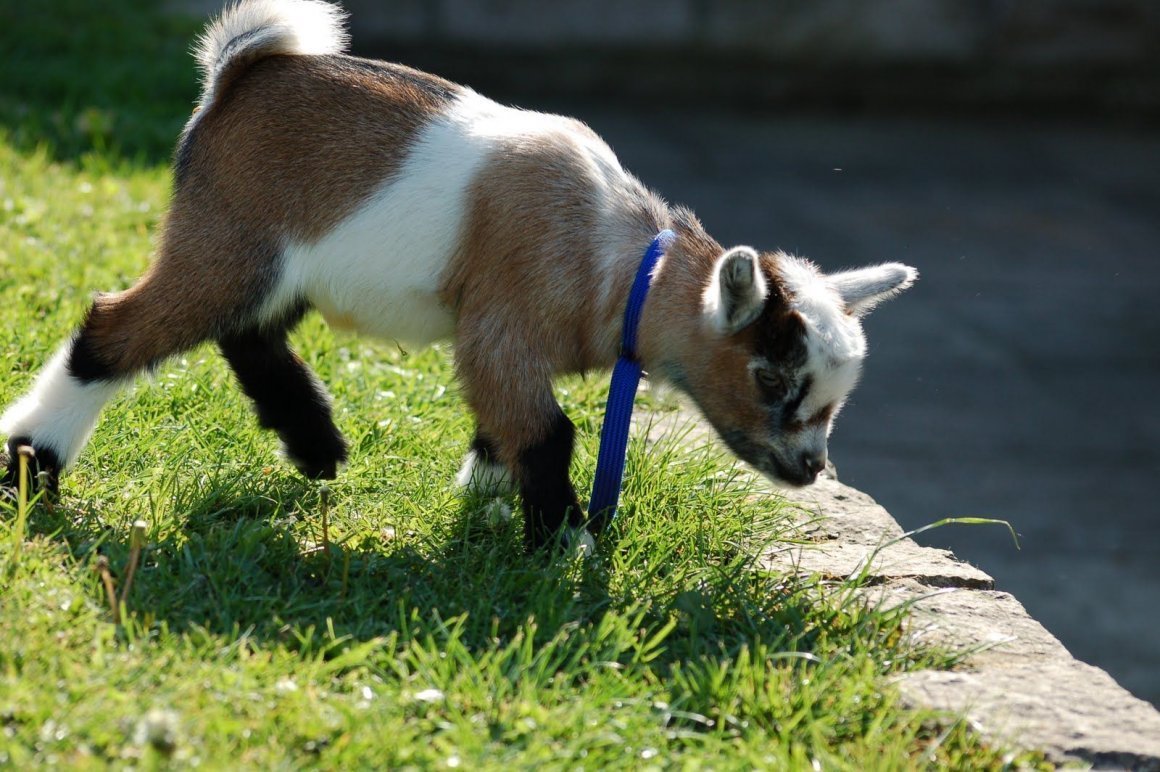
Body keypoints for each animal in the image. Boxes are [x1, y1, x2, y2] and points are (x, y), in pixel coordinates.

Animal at [0, 0, 917, 551]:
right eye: (771, 377)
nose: (809, 469)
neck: (620, 260)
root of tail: (240, 73)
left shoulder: (492, 343)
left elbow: (504, 423)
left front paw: (487, 490)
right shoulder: (503, 329)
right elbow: (548, 432)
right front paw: (562, 544)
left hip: (275, 266)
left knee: (249, 335)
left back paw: (317, 446)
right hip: (226, 242)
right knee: (114, 331)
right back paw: (32, 464)